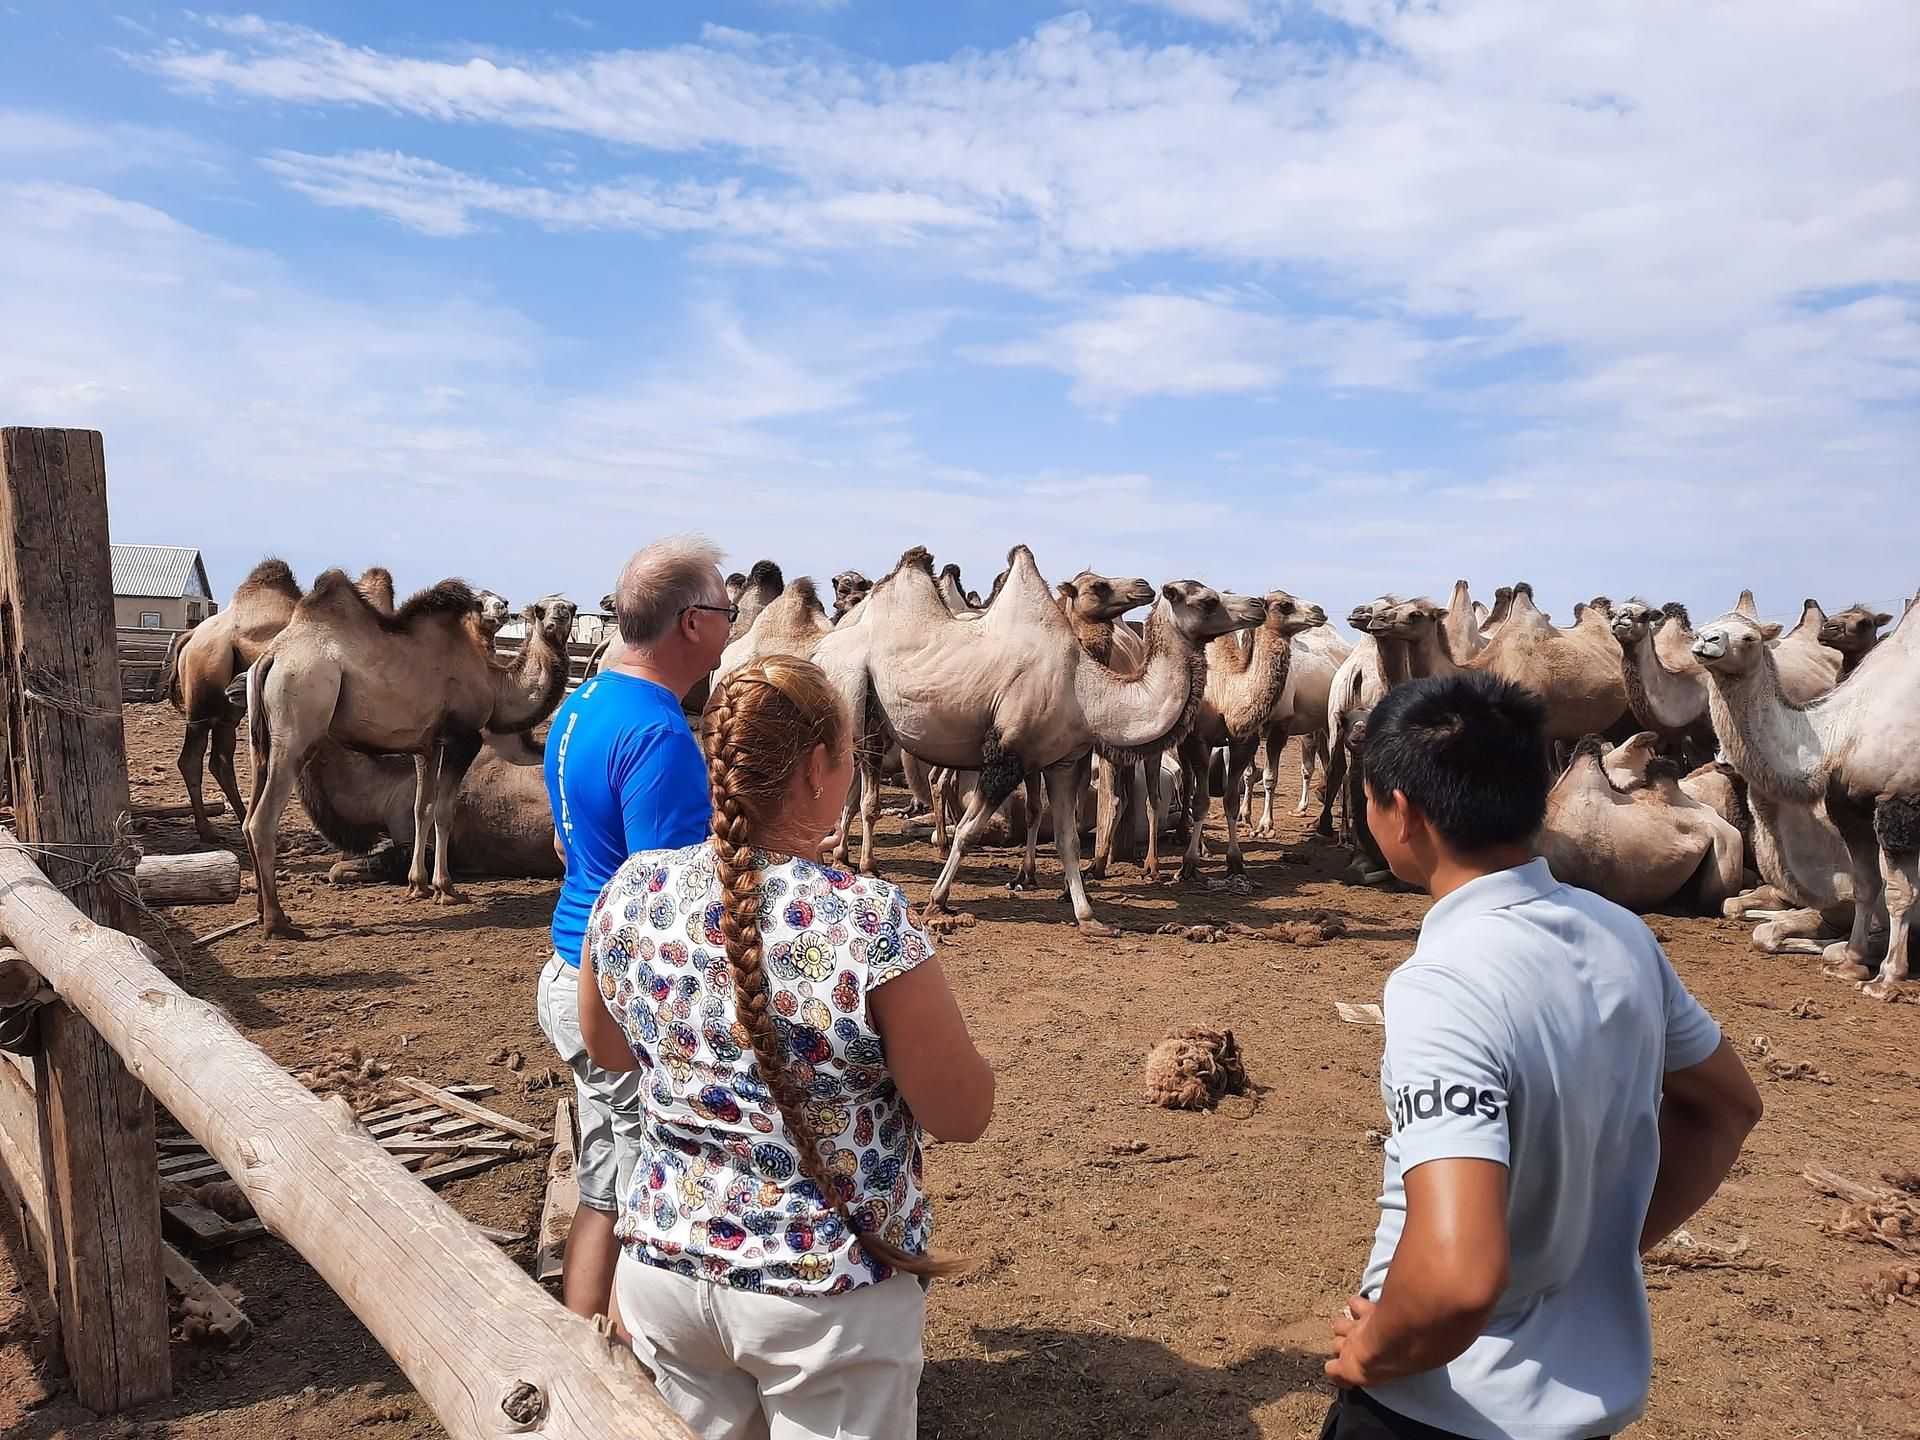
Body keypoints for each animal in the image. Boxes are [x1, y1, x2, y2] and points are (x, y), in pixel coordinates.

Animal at [817, 545, 1267, 936]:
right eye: (1207, 601)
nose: (1258, 605)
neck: (1084, 691)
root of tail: (820, 651)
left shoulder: (1062, 762)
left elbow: (1069, 840)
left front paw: (1089, 918)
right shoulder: (1005, 756)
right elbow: (967, 831)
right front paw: (936, 901)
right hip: (848, 701)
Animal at [1175, 587, 1328, 879]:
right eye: (1284, 605)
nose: (1320, 611)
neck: (1226, 691)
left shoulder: (1244, 741)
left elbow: (1232, 801)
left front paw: (1236, 861)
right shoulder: (1198, 740)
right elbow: (1201, 801)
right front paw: (1188, 863)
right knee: (1188, 784)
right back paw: (1190, 839)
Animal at [1697, 602, 1920, 998]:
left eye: (1749, 637)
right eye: (1701, 628)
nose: (1706, 643)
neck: (1838, 733)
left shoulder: (1898, 801)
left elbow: (1898, 893)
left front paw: (1886, 977)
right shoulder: (1848, 805)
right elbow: (1866, 885)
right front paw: (1850, 963)